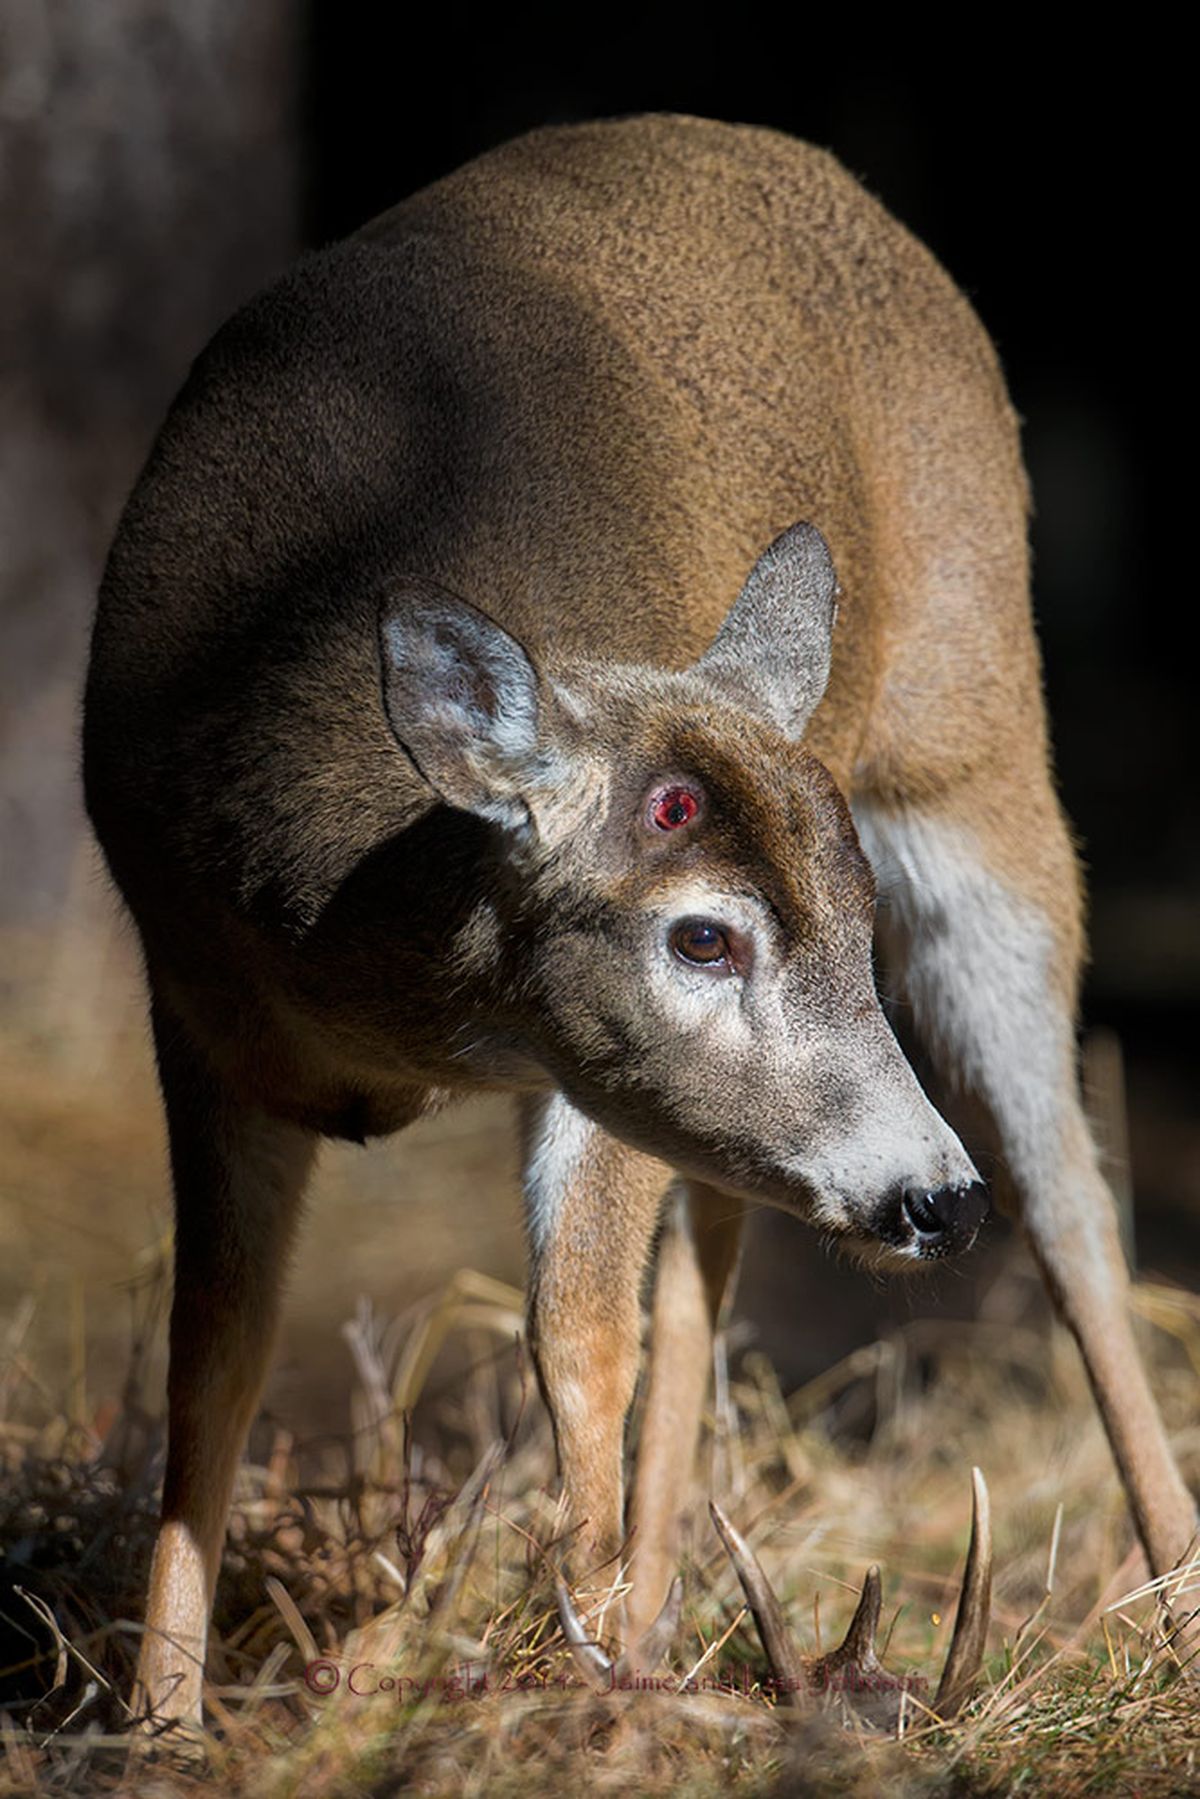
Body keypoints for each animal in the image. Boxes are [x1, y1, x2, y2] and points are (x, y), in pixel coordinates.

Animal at [82, 112, 1194, 1727]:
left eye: (853, 915)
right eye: (703, 935)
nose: (931, 1198)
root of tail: (800, 164)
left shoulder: (581, 1064)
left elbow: (576, 1345)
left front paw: (576, 1658)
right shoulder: (199, 1006)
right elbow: (209, 1358)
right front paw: (159, 1715)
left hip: (981, 752)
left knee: (1071, 1204)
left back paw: (1164, 1609)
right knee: (721, 1245)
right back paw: (676, 1609)